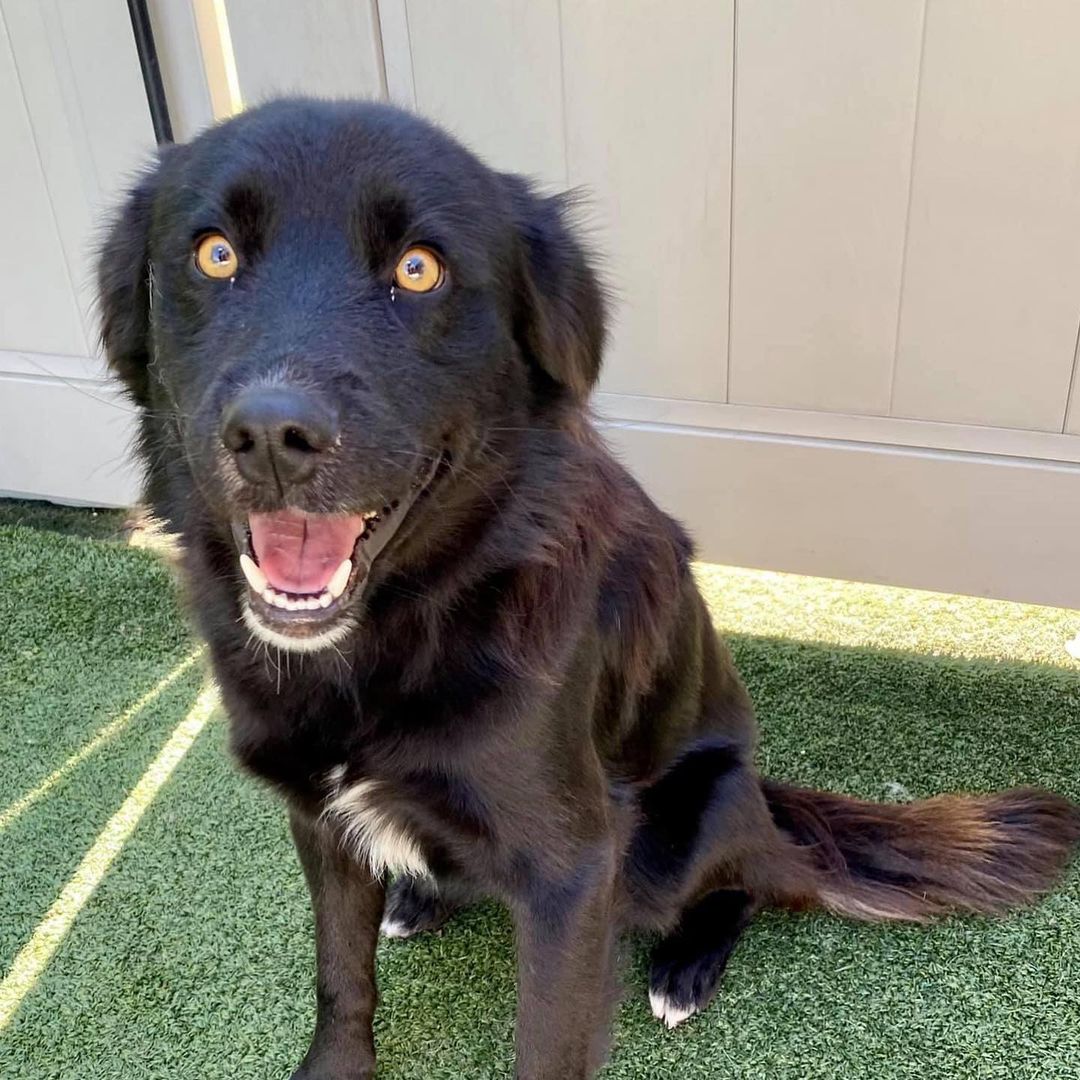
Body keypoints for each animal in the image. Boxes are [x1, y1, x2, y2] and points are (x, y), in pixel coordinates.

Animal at [97, 97, 1075, 1075]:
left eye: (419, 269)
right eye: (213, 254)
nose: (271, 436)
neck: (400, 628)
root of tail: (763, 788)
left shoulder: (571, 869)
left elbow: (547, 1042)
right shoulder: (320, 815)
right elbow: (342, 976)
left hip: (688, 820)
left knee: (760, 881)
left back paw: (686, 964)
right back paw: (420, 895)